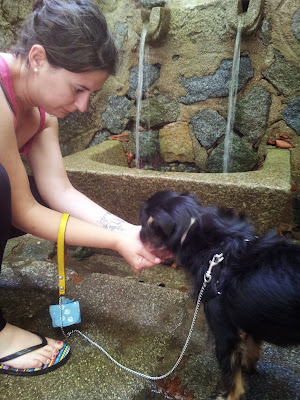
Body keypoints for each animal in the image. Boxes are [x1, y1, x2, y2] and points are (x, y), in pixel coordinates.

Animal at [139, 191, 298, 400]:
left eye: (143, 223)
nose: (139, 235)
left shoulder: (225, 336)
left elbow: (231, 378)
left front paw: (228, 395)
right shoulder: (252, 316)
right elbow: (252, 341)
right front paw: (249, 364)